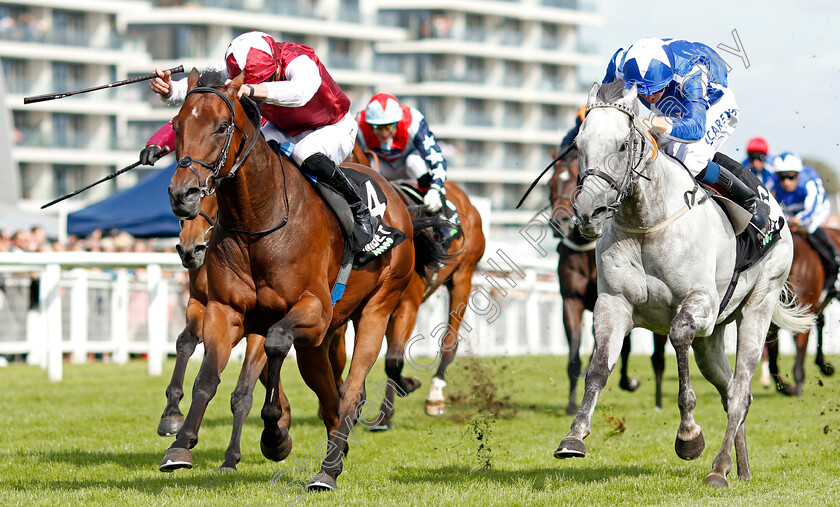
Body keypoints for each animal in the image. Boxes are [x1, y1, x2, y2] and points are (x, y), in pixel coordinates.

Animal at [161, 69, 446, 490]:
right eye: (177, 124)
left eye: (222, 125)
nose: (183, 194)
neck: (259, 222)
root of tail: (399, 200)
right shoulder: (224, 310)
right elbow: (207, 376)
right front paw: (180, 444)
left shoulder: (311, 310)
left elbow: (276, 345)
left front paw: (274, 434)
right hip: (320, 341)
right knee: (331, 395)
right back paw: (334, 456)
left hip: (377, 308)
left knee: (352, 390)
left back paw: (326, 470)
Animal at [352, 146, 486, 424]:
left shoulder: (406, 304)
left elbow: (393, 360)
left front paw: (405, 391)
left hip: (463, 277)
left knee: (449, 341)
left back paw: (434, 396)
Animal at [544, 146, 668, 412]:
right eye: (550, 184)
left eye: (573, 182)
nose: (558, 222)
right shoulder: (572, 301)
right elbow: (575, 357)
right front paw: (572, 404)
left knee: (658, 357)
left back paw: (658, 402)